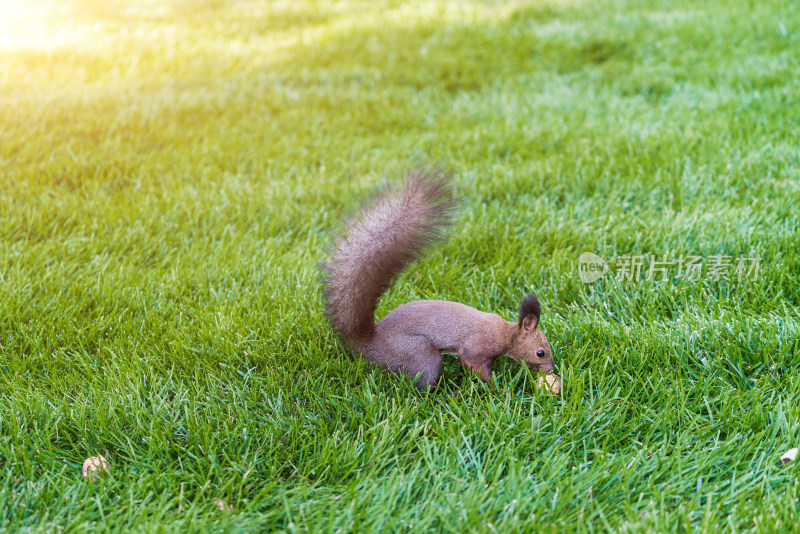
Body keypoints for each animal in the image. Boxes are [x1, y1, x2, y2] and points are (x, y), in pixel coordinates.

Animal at [322, 165, 552, 392]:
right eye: (540, 352)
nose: (550, 369)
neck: (506, 333)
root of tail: (369, 342)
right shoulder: (478, 347)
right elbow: (475, 364)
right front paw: (499, 390)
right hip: (421, 355)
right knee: (422, 388)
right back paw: (447, 395)